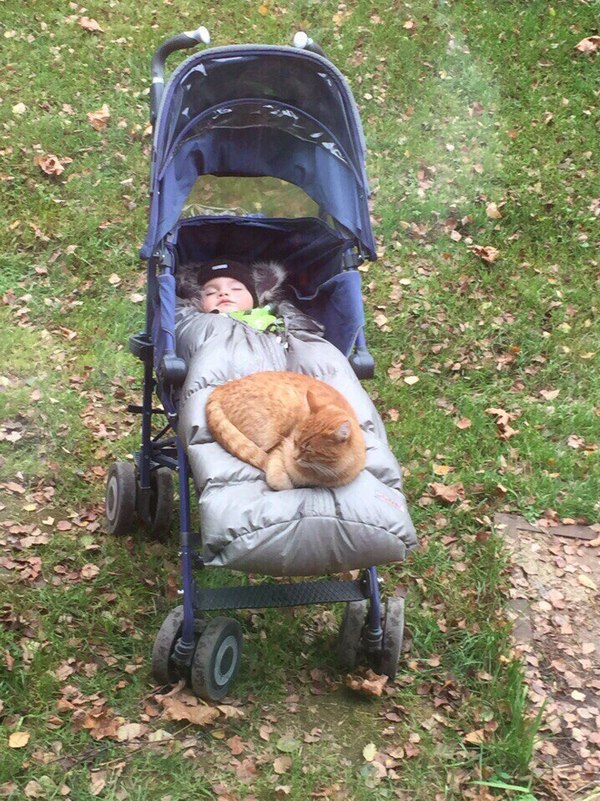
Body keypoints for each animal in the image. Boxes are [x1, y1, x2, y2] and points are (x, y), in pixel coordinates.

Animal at [206, 368, 366, 488]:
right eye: (295, 441)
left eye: (309, 450)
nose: (294, 456)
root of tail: (222, 387)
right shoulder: (281, 447)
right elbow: (277, 479)